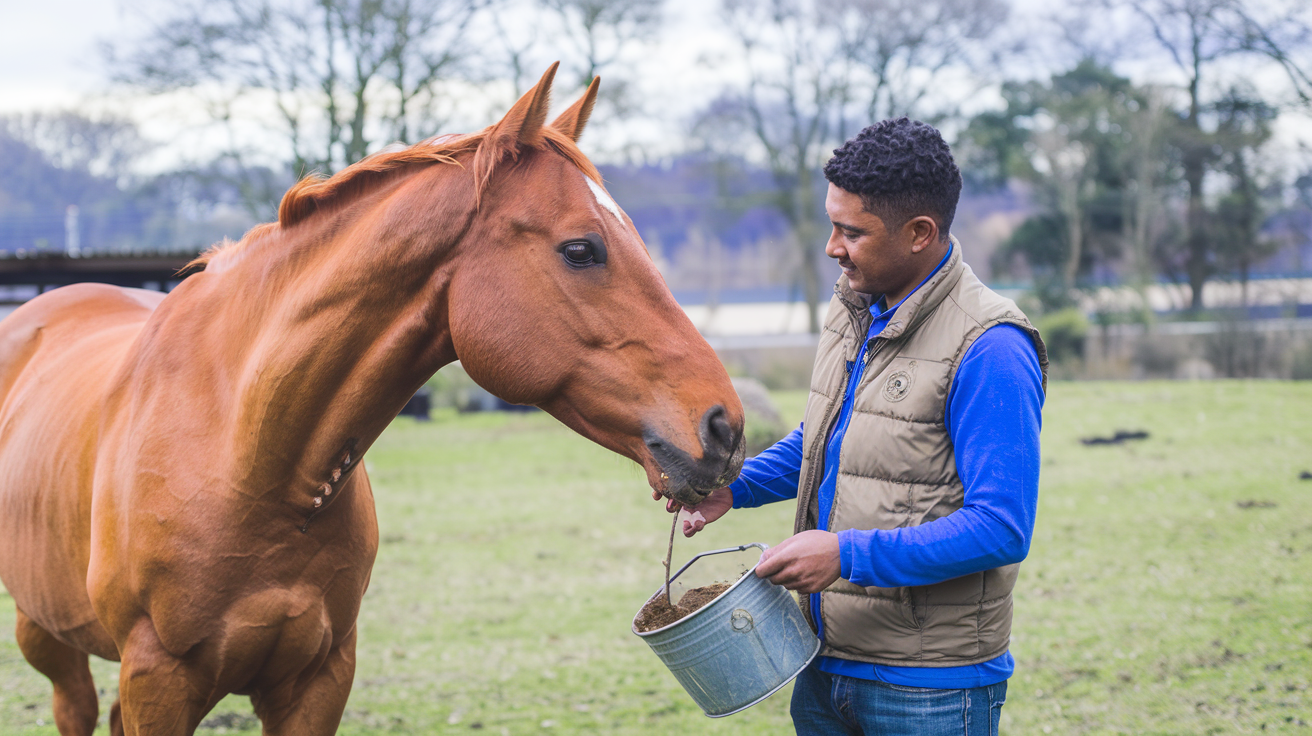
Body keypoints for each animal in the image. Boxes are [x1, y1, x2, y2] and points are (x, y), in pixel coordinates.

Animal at [0, 64, 745, 734]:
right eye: (582, 250)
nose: (725, 427)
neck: (245, 456)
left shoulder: (318, 681)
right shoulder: (159, 679)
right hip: (46, 635)